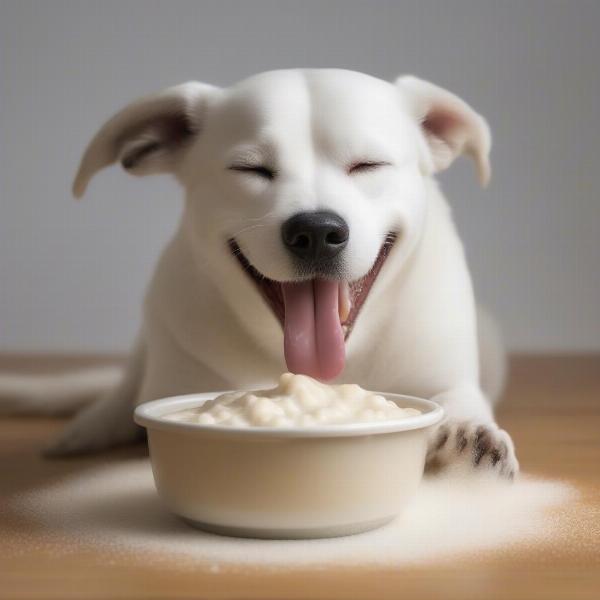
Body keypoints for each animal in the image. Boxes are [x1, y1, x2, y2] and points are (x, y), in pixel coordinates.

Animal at [0, 68, 516, 476]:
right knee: (122, 389)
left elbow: (455, 399)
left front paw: (468, 435)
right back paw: (92, 424)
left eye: (368, 165)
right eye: (251, 169)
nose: (316, 230)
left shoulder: (444, 372)